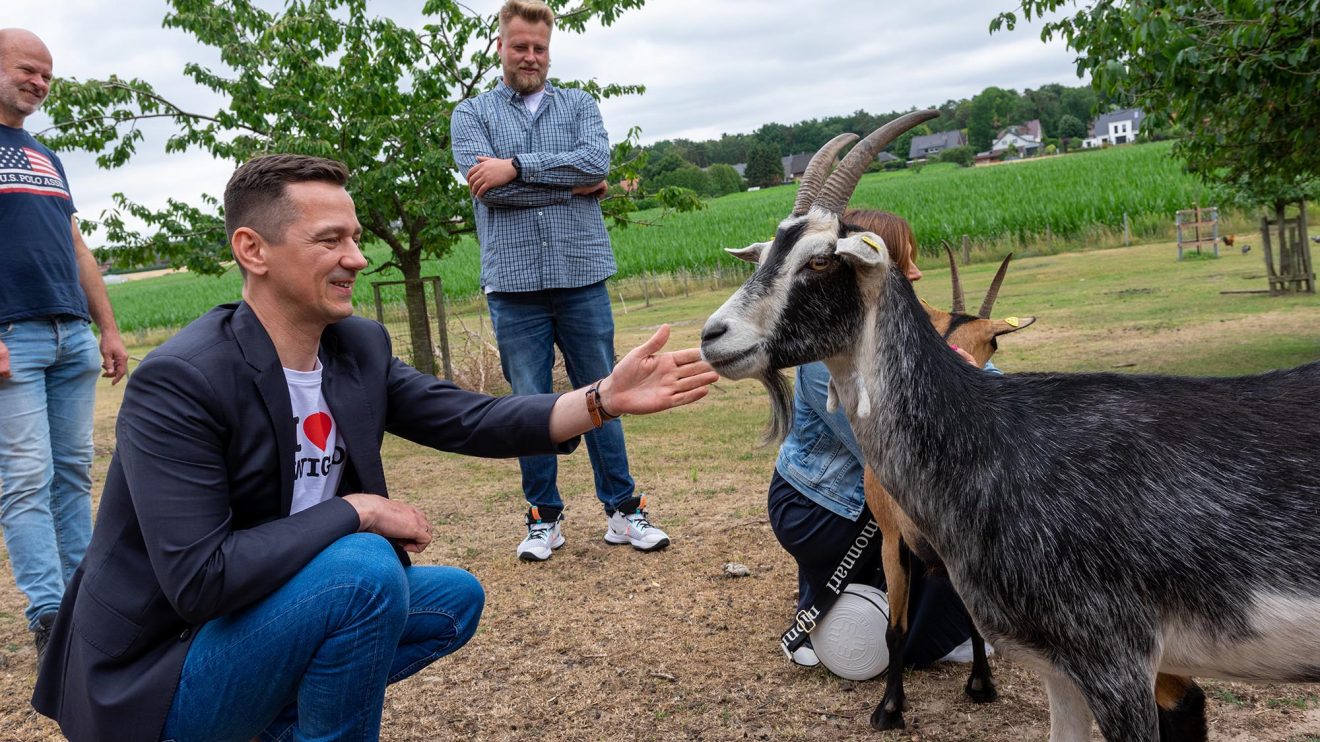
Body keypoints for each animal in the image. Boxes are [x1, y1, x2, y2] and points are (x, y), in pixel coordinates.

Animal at [702, 110, 1320, 739]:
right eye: (766, 253)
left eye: (821, 259)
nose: (712, 336)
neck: (992, 437)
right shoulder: (1060, 664)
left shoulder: (1114, 656)